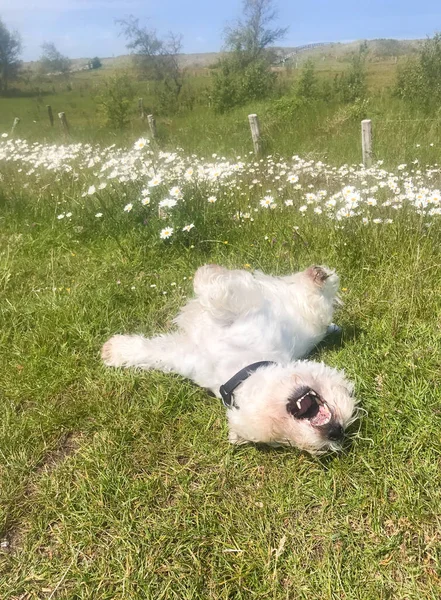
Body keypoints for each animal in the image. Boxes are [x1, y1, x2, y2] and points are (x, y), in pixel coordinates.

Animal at [103, 264, 358, 452]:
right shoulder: (186, 355)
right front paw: (115, 350)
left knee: (316, 297)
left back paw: (317, 276)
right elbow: (152, 350)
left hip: (312, 317)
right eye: (284, 441)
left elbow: (218, 294)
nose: (337, 432)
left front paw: (207, 274)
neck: (238, 369)